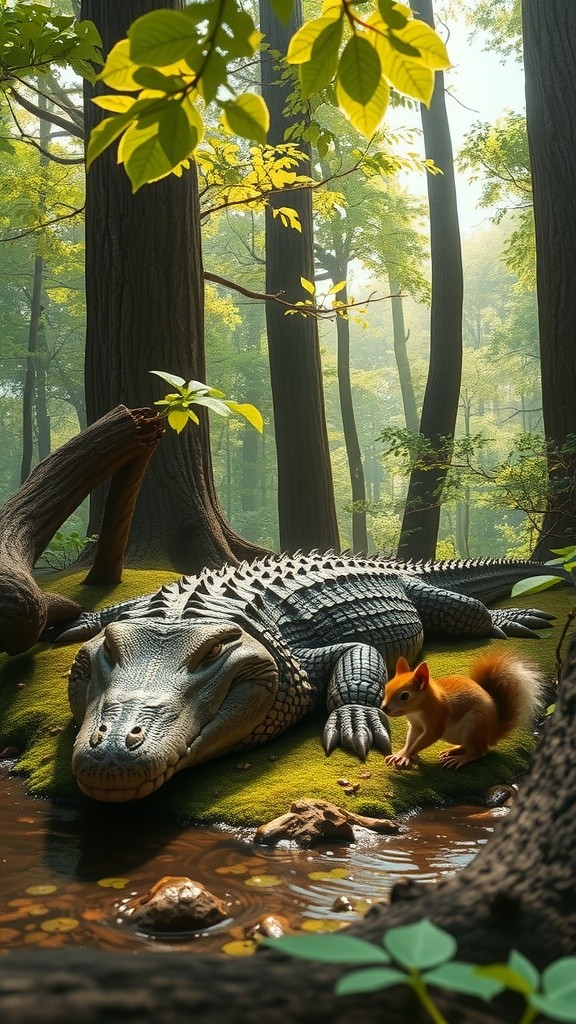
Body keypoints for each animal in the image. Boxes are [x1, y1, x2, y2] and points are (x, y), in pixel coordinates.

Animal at [381, 651, 543, 769]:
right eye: (386, 687)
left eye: (404, 696)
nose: (384, 708)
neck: (418, 709)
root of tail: (493, 732)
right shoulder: (416, 726)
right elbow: (411, 739)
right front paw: (401, 753)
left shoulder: (436, 718)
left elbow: (426, 738)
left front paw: (406, 755)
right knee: (467, 746)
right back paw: (453, 750)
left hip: (475, 726)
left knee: (479, 752)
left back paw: (461, 758)